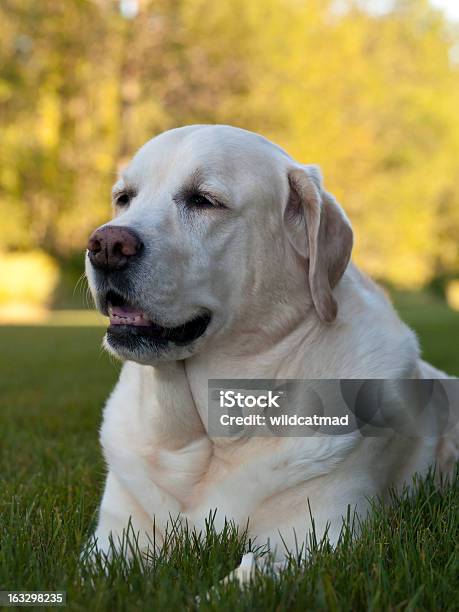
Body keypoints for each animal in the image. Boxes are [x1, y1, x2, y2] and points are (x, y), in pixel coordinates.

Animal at [84, 123, 458, 580]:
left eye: (203, 200)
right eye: (124, 198)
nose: (105, 244)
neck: (209, 434)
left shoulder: (320, 541)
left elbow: (245, 575)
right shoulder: (111, 542)